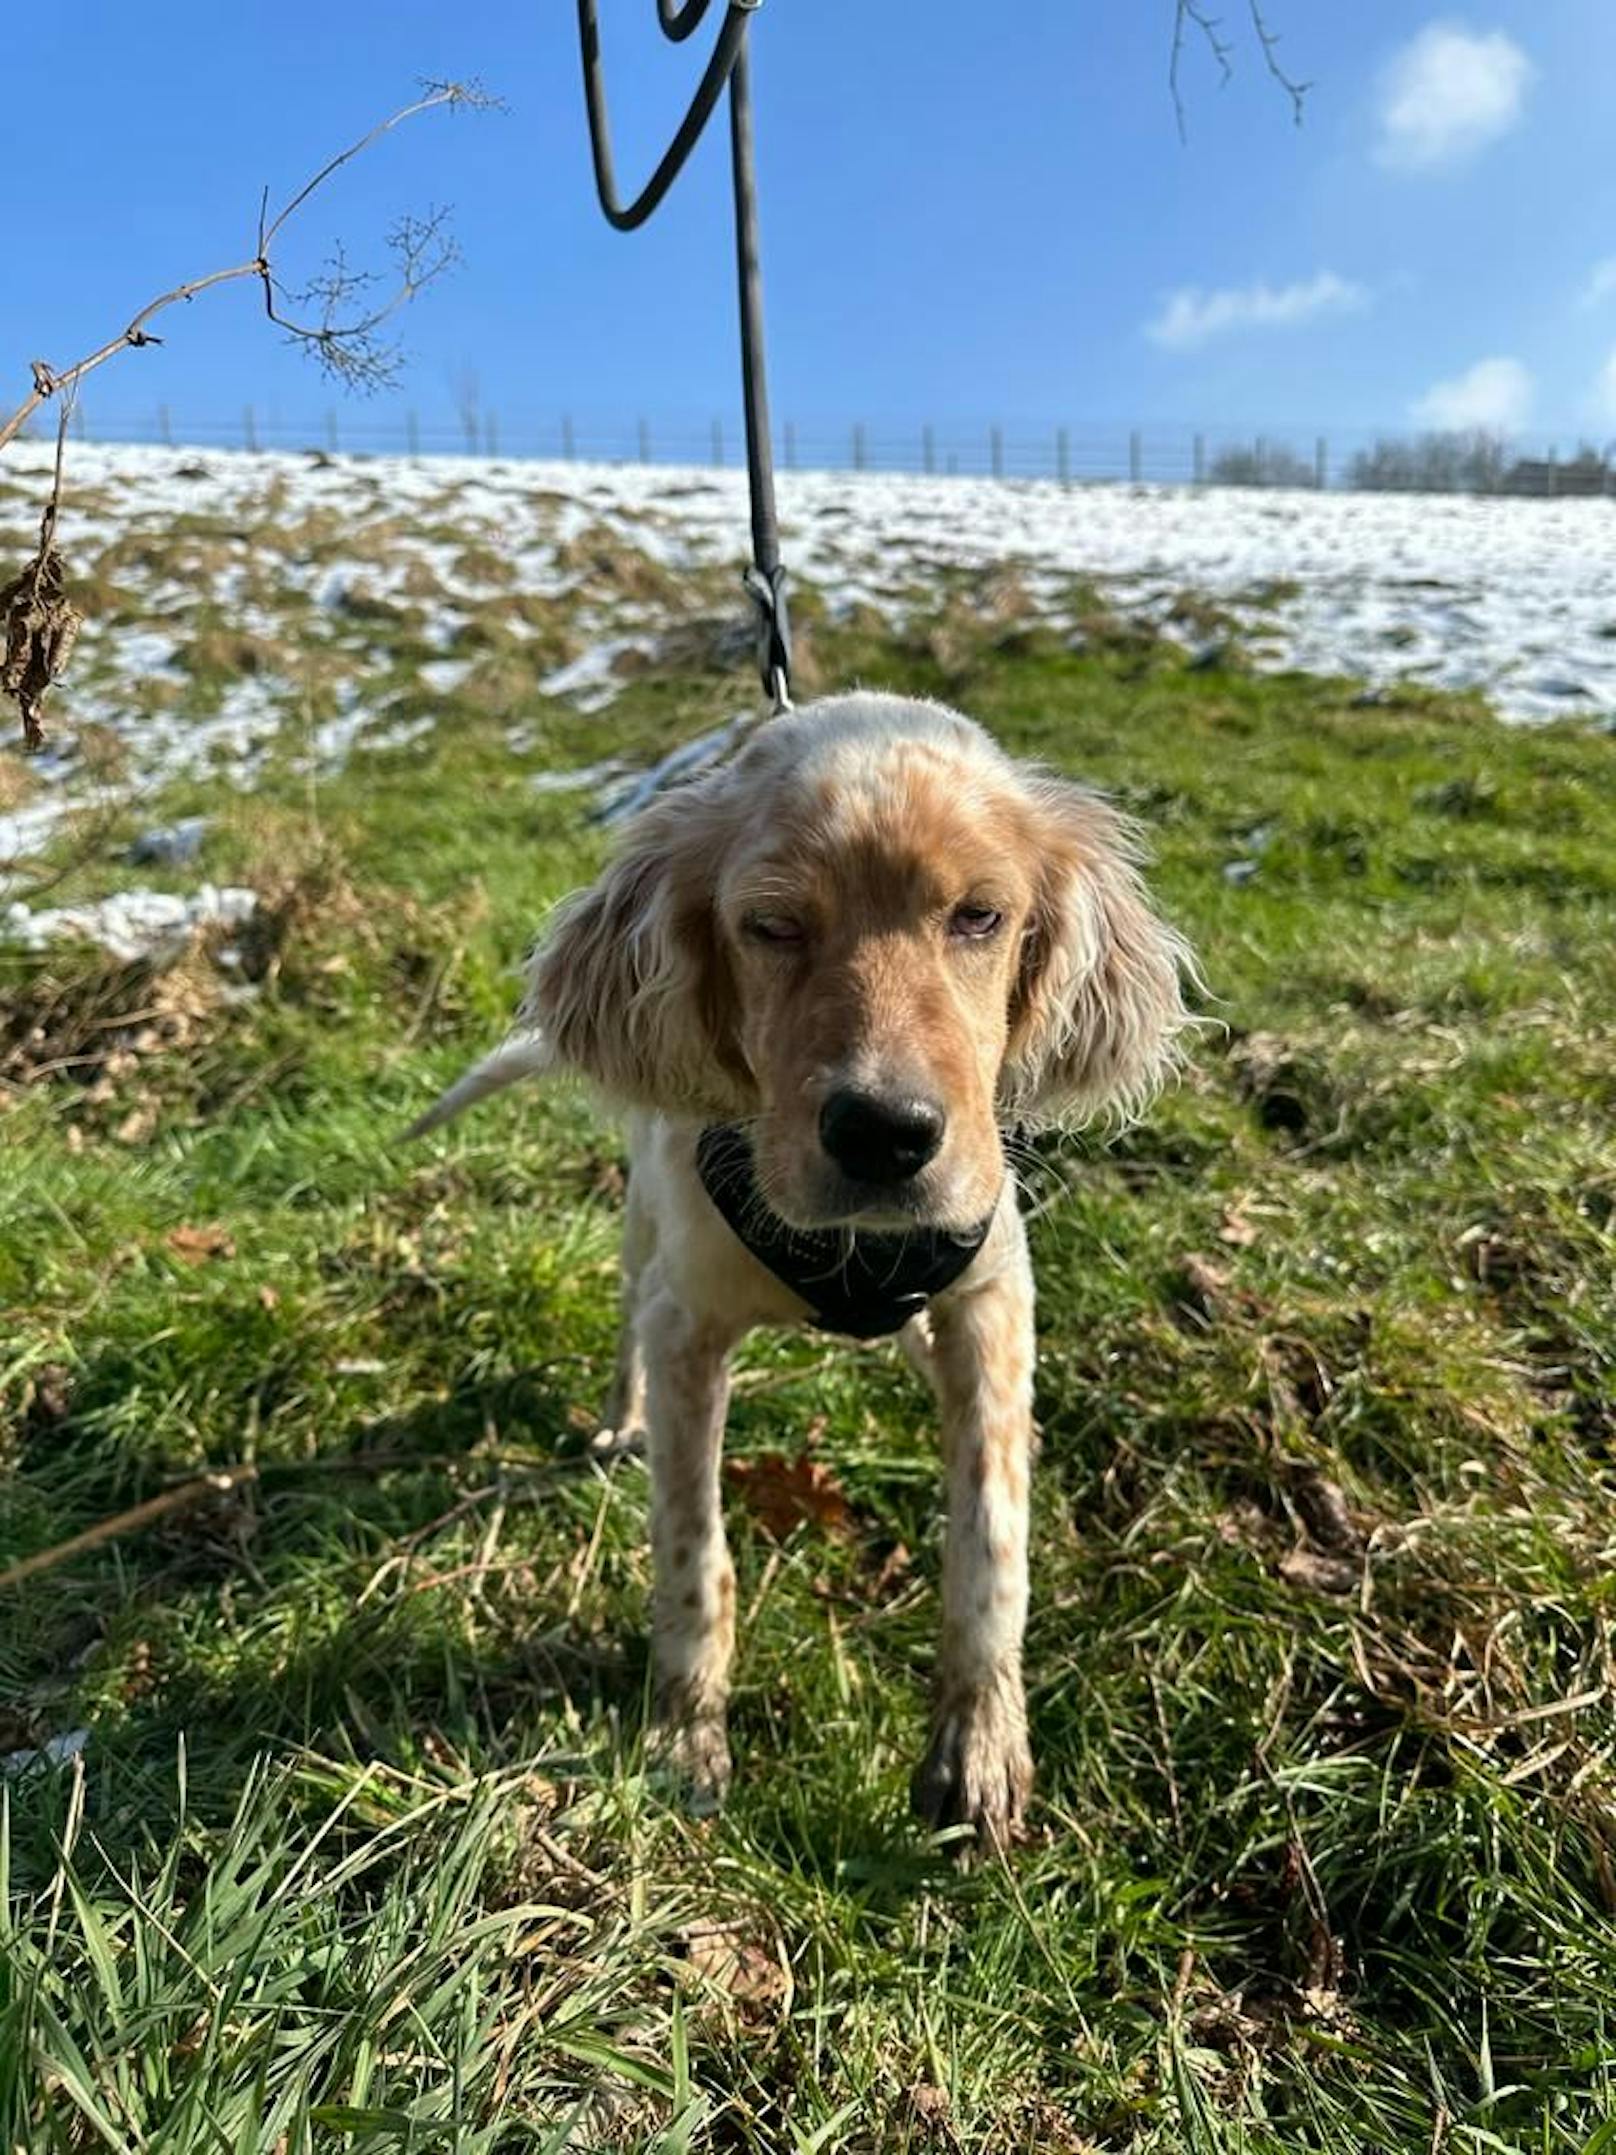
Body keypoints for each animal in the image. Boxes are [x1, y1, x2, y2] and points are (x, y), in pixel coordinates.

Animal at [413, 693, 1206, 1853]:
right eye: (773, 926)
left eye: (978, 917)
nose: (885, 1134)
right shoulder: (690, 1326)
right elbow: (692, 1551)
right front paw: (685, 1736)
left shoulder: (992, 1301)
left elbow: (990, 1540)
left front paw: (979, 1748)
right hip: (643, 1235)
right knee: (627, 1322)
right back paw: (617, 1422)